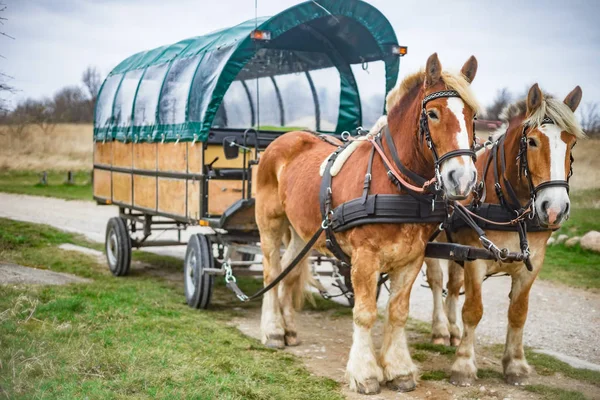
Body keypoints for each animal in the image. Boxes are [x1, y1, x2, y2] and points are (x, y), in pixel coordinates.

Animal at [255, 53, 480, 394]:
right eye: (433, 114)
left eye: (473, 116)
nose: (463, 179)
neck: (395, 183)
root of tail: (286, 137)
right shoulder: (365, 258)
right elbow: (364, 313)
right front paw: (365, 373)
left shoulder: (411, 258)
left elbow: (398, 313)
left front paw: (399, 369)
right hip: (270, 222)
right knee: (271, 271)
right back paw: (272, 331)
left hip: (303, 232)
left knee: (289, 273)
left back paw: (289, 329)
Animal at [422, 83, 580, 386]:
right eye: (532, 142)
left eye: (571, 142)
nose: (554, 209)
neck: (509, 206)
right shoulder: (475, 259)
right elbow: (473, 310)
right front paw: (464, 365)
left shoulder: (533, 263)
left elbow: (518, 314)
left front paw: (515, 364)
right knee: (436, 282)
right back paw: (440, 330)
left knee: (453, 284)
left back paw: (453, 331)